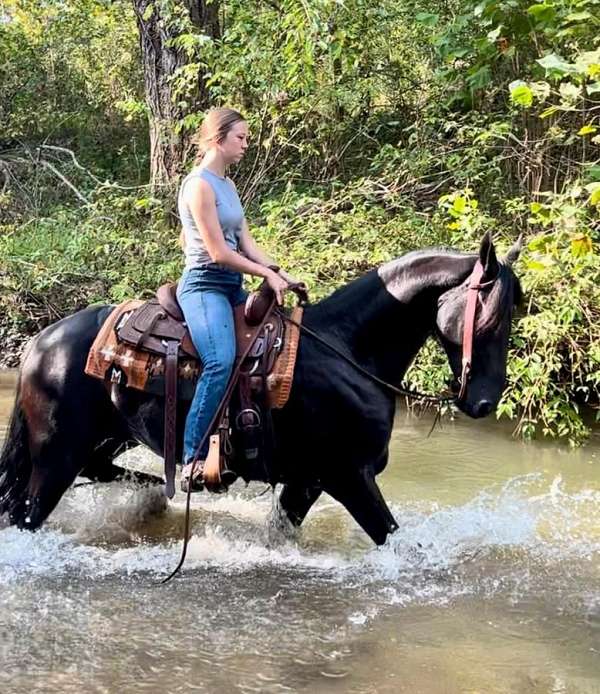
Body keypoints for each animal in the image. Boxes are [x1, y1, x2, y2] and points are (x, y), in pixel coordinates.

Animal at [0, 237, 520, 548]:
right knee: (27, 514)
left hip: (107, 439)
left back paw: (152, 497)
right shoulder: (349, 476)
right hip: (55, 457)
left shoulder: (308, 480)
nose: (484, 402)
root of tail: (41, 340)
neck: (347, 348)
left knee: (101, 471)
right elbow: (391, 534)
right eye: (490, 315)